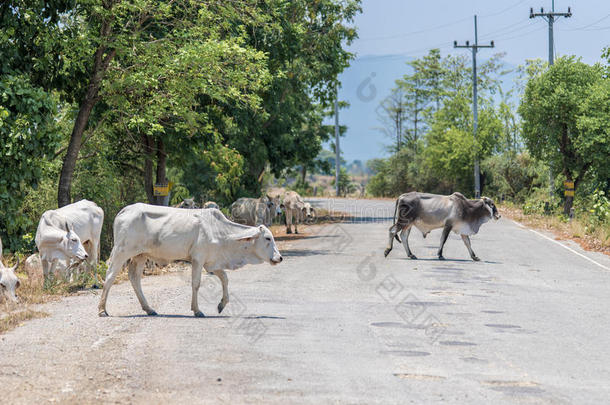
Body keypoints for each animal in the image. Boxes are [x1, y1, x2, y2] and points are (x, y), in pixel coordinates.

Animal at [98, 204, 282, 318]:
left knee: (134, 278)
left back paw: (149, 309)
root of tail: (124, 211)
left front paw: (222, 304)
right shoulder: (198, 259)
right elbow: (196, 284)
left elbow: (225, 278)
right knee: (110, 276)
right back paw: (102, 310)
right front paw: (197, 310)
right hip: (121, 251)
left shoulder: (211, 262)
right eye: (267, 238)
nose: (279, 257)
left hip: (141, 255)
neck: (221, 233)